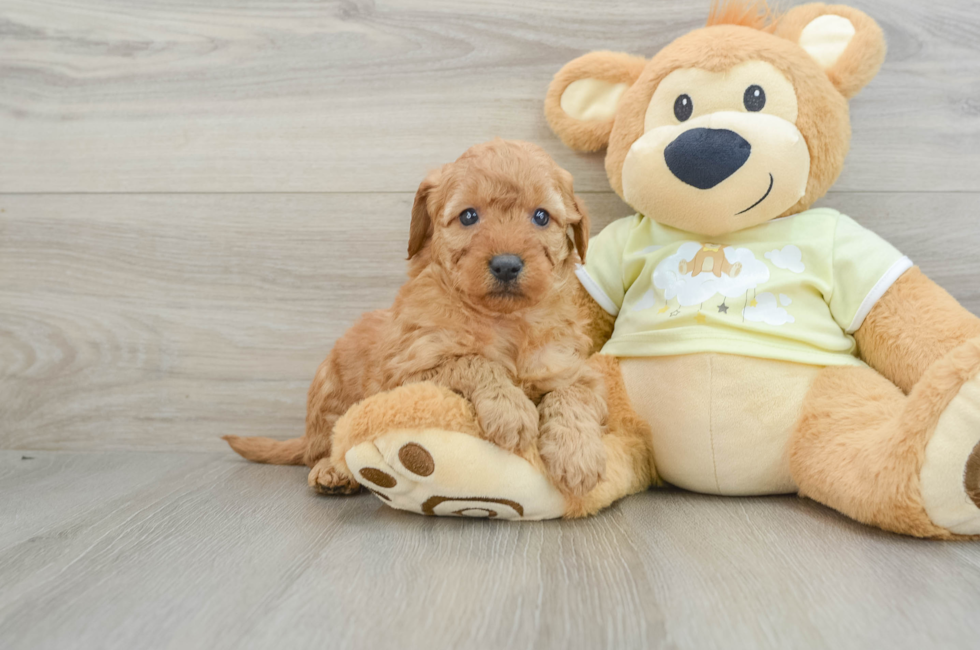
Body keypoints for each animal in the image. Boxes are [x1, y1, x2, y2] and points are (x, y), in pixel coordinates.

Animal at [224, 139, 604, 494]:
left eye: (541, 217)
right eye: (468, 216)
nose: (507, 265)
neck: (504, 320)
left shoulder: (569, 367)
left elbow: (573, 396)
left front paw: (576, 455)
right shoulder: (410, 371)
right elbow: (473, 361)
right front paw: (511, 410)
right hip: (330, 390)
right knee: (325, 446)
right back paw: (332, 470)